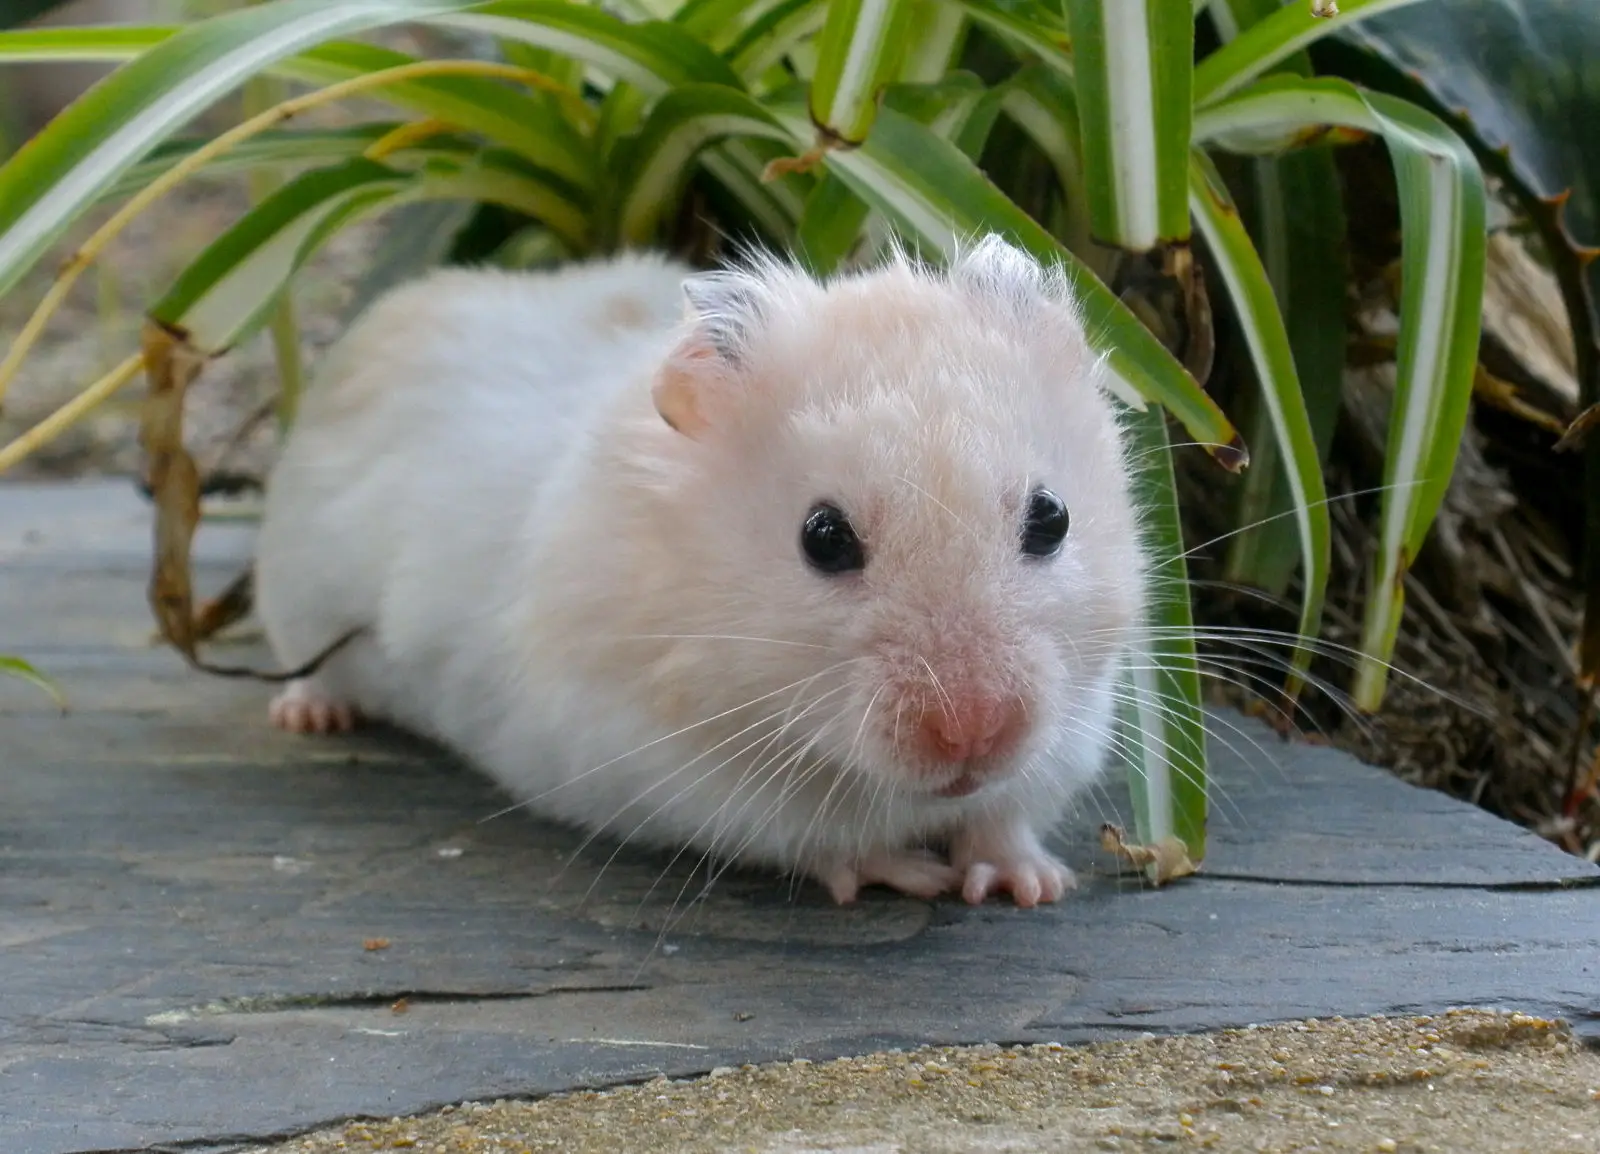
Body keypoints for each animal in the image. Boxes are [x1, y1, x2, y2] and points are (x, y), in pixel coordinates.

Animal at [252, 236, 1147, 908]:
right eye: (823, 538)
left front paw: (1031, 884)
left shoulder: (1069, 733)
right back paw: (308, 716)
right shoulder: (677, 771)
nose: (975, 736)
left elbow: (1006, 817)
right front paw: (911, 875)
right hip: (299, 596)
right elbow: (819, 837)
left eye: (1052, 519)